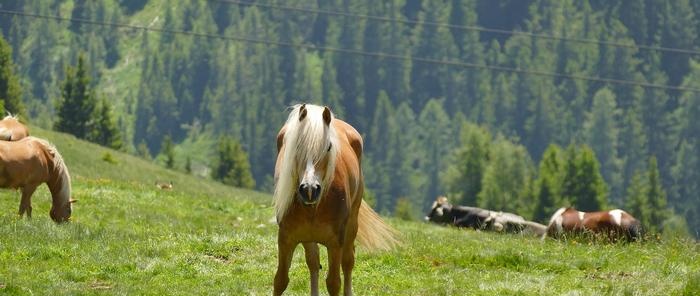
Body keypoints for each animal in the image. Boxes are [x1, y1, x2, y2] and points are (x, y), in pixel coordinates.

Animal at [274, 103, 400, 294]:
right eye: (296, 146)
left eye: (328, 147)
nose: (309, 190)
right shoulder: (286, 240)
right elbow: (280, 280)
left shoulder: (335, 243)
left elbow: (334, 283)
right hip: (309, 239)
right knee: (313, 263)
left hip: (351, 226)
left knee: (348, 262)